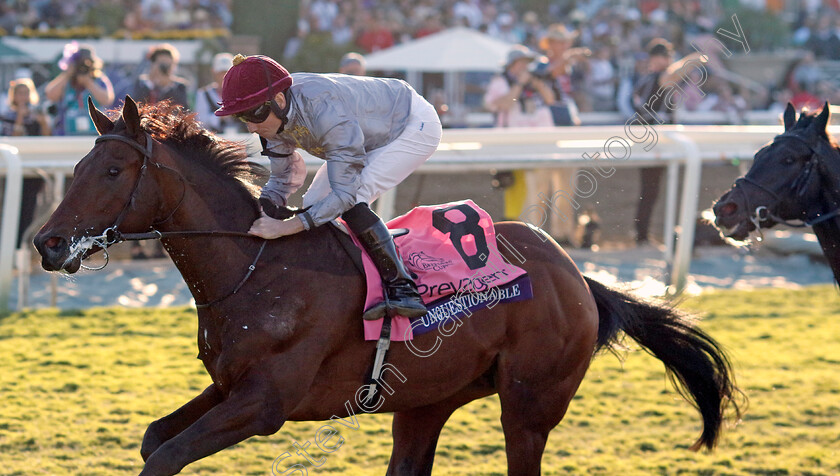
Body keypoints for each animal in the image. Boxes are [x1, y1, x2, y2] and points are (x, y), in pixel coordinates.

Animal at [36, 97, 740, 476]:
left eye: (113, 169)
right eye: (78, 165)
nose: (48, 243)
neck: (255, 270)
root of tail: (578, 276)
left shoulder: (265, 403)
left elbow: (166, 455)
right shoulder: (230, 386)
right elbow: (157, 439)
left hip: (530, 404)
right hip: (428, 399)